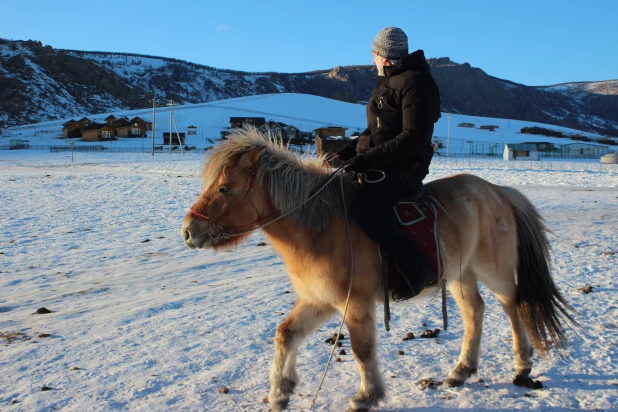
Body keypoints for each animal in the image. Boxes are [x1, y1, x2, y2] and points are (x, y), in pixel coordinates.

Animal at [180, 129, 576, 412]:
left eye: (225, 188)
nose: (188, 231)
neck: (319, 226)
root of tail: (498, 192)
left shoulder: (354, 303)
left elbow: (362, 349)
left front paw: (366, 396)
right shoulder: (318, 301)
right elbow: (285, 334)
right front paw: (280, 393)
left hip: (494, 271)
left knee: (513, 306)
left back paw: (522, 367)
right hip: (460, 275)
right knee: (474, 312)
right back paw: (461, 371)